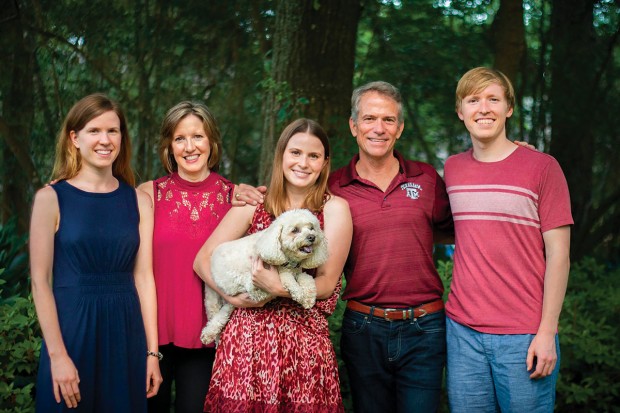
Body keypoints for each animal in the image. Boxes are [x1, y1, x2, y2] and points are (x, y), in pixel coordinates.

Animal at [203, 208, 330, 342]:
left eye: (312, 228)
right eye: (295, 230)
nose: (312, 237)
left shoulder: (296, 271)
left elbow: (306, 277)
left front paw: (309, 298)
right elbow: (287, 278)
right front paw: (298, 292)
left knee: (225, 311)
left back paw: (210, 332)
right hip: (224, 288)